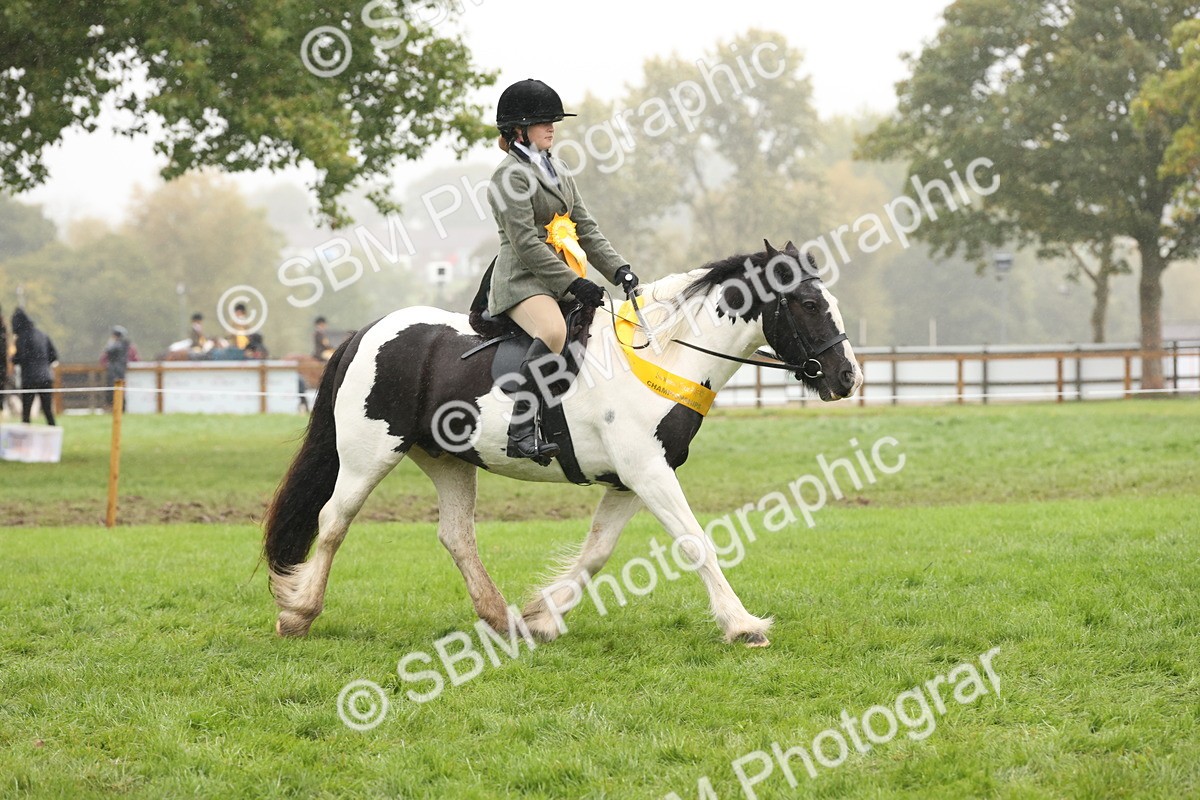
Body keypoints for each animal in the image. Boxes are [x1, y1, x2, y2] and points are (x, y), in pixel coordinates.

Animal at [262, 240, 862, 647]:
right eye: (810, 304)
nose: (847, 377)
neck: (664, 354)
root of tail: (366, 333)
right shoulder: (647, 473)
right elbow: (696, 542)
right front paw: (742, 625)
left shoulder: (631, 479)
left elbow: (597, 552)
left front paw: (543, 618)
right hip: (368, 456)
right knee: (334, 521)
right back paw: (299, 614)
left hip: (447, 460)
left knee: (456, 535)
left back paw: (502, 620)